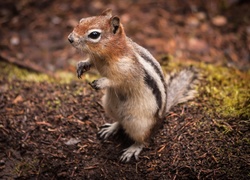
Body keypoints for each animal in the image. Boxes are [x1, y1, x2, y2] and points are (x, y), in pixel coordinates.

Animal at [68, 9, 199, 162]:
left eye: (94, 34)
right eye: (82, 20)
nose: (70, 38)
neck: (107, 53)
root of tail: (160, 117)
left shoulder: (127, 69)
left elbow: (116, 80)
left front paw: (101, 82)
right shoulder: (95, 59)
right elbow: (90, 62)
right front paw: (82, 64)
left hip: (138, 122)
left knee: (143, 138)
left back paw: (133, 148)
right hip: (110, 105)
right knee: (120, 122)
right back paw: (111, 128)